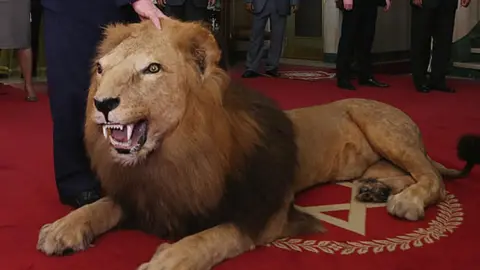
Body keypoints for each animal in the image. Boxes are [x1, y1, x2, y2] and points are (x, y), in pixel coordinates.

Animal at [34, 19, 480, 270]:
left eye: (152, 69)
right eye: (100, 69)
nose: (101, 103)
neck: (175, 152)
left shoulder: (266, 210)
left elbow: (214, 236)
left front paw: (169, 259)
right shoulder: (146, 192)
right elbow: (101, 205)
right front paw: (63, 227)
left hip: (383, 127)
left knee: (433, 179)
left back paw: (406, 201)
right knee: (405, 172)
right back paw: (375, 189)